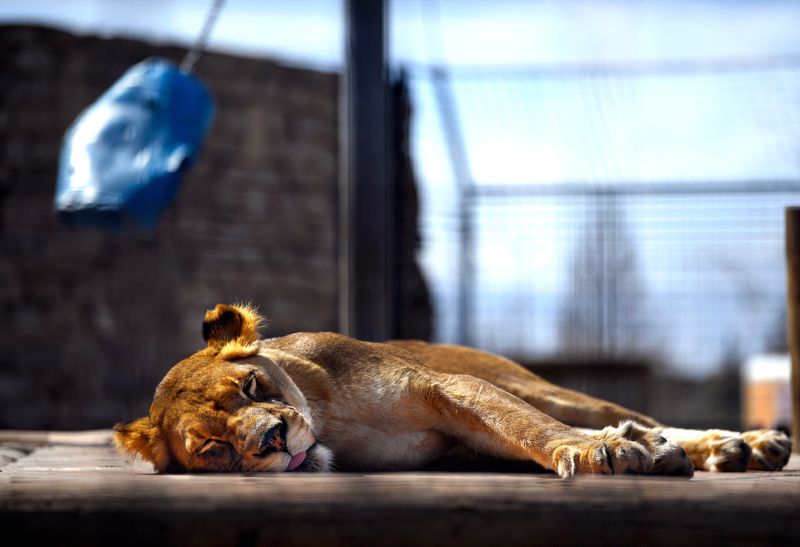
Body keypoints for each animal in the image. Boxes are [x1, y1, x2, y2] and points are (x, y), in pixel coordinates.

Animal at [114, 303, 792, 477]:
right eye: (212, 448)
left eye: (252, 385)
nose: (274, 438)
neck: (332, 419)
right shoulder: (463, 438)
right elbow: (516, 436)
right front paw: (621, 449)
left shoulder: (449, 385)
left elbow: (530, 426)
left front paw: (597, 453)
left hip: (537, 385)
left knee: (627, 414)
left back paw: (744, 444)